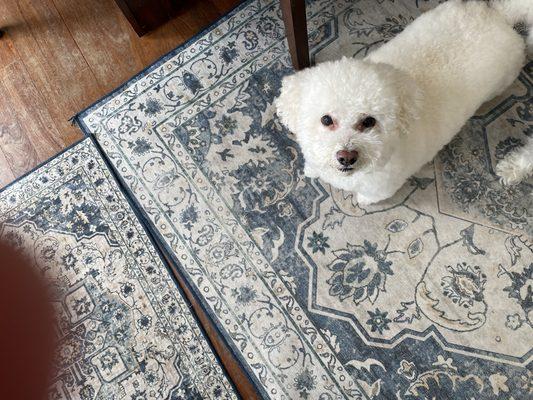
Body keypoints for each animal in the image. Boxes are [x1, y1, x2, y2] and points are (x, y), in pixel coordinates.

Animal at [276, 0, 528, 205]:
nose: (346, 156)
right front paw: (312, 170)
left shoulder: (381, 188)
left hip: (504, 79)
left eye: (369, 122)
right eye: (326, 119)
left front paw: (361, 201)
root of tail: (501, 17)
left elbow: (368, 197)